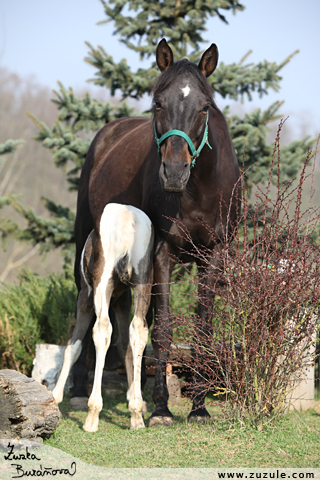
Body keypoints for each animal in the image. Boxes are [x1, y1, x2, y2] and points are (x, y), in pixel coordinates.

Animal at [53, 202, 154, 432]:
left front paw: (54, 397)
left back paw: (92, 415)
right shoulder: (122, 300)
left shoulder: (85, 296)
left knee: (102, 329)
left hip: (102, 282)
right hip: (143, 282)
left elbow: (73, 344)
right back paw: (137, 415)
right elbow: (125, 345)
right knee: (138, 330)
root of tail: (127, 218)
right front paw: (133, 404)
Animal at [70, 39, 240, 426]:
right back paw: (79, 391)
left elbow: (201, 329)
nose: (174, 172)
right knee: (85, 311)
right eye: (158, 102)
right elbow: (162, 329)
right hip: (87, 244)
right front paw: (163, 408)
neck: (198, 189)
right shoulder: (164, 253)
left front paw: (198, 406)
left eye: (204, 107)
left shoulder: (214, 256)